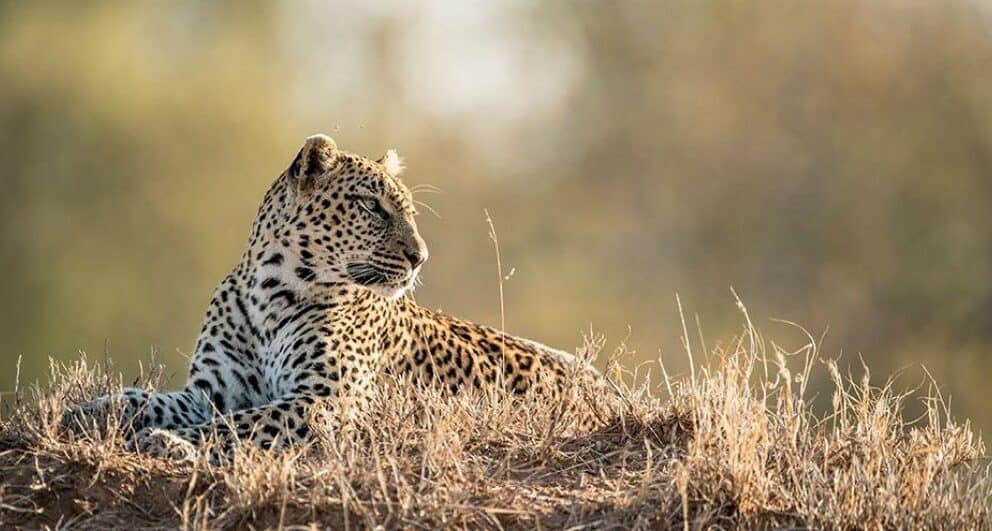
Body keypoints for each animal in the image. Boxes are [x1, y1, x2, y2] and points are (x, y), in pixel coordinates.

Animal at [63, 134, 611, 461]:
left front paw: (167, 443)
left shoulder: (330, 399)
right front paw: (88, 411)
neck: (271, 293)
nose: (421, 257)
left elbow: (240, 425)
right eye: (372, 206)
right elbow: (148, 399)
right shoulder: (211, 392)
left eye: (408, 211)